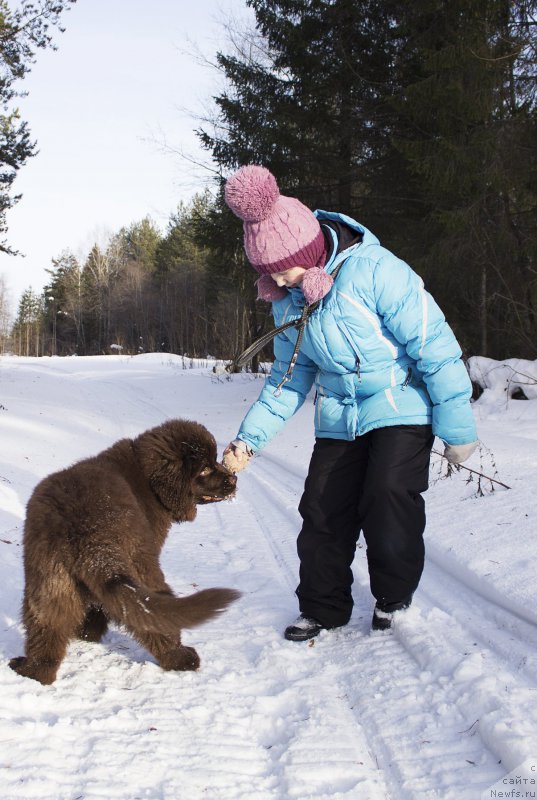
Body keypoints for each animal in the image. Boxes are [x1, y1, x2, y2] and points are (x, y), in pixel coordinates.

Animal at [9, 416, 240, 684]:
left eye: (215, 461)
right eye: (204, 469)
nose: (234, 479)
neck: (147, 478)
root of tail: (85, 529)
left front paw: (87, 633)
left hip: (49, 580)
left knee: (47, 628)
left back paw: (32, 671)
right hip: (141, 565)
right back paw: (181, 657)